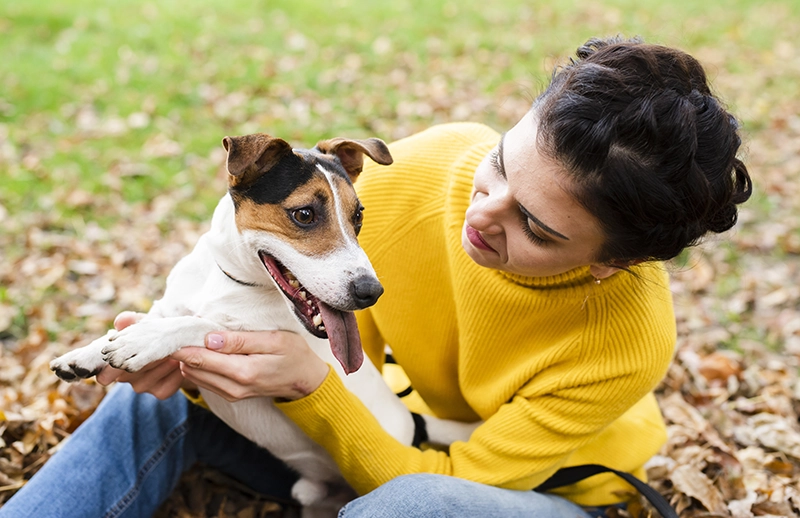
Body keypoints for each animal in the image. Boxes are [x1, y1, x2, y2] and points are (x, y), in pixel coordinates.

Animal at [50, 135, 476, 518]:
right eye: (304, 214)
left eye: (358, 216)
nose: (371, 291)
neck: (230, 281)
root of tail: (411, 423)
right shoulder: (170, 304)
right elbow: (158, 318)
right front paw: (85, 353)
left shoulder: (252, 342)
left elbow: (197, 323)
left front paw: (146, 340)